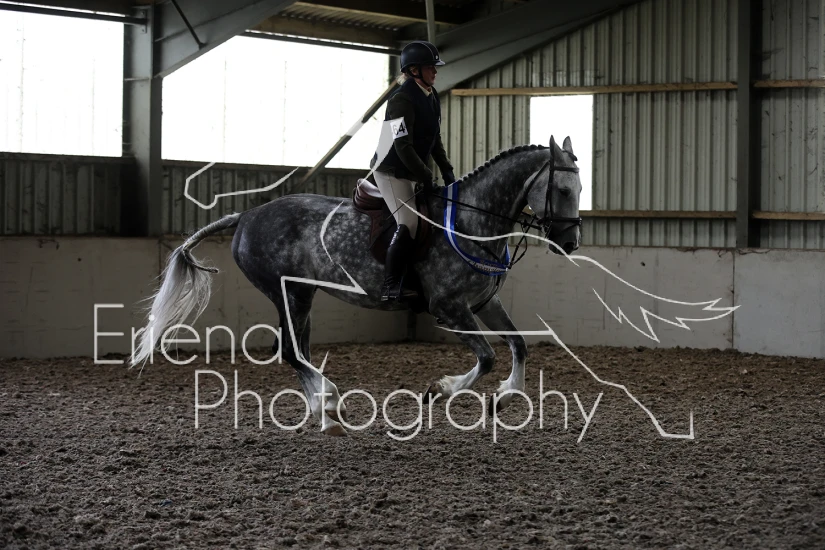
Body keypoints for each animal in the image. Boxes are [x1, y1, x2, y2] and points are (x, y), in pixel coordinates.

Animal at [132, 136, 583, 436]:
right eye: (563, 189)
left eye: (580, 188)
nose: (570, 243)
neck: (474, 221)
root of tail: (245, 216)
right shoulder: (450, 307)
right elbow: (487, 357)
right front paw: (441, 390)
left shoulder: (484, 303)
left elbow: (519, 345)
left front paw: (504, 397)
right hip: (288, 292)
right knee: (289, 350)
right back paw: (330, 402)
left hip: (303, 293)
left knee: (299, 349)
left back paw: (325, 412)